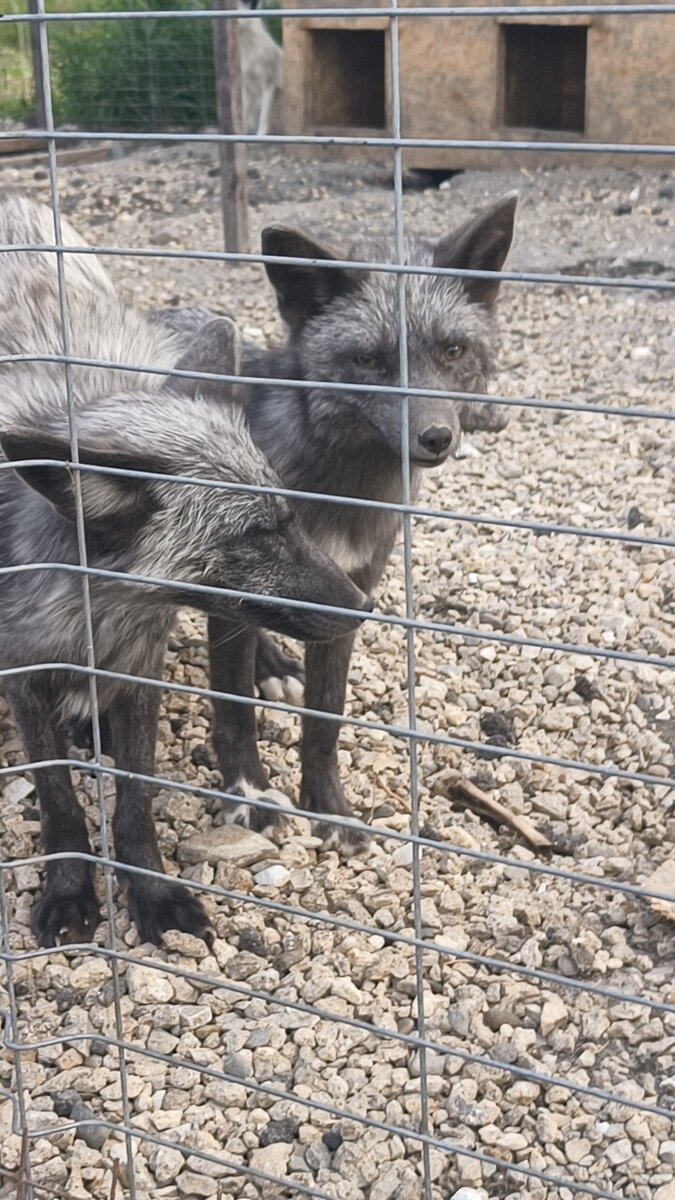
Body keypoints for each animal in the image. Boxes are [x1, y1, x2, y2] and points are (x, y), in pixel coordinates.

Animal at [0, 192, 370, 945]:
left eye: (291, 516)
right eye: (257, 532)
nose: (362, 606)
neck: (94, 612)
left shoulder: (142, 667)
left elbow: (136, 800)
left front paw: (153, 895)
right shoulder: (22, 674)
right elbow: (58, 800)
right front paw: (69, 890)